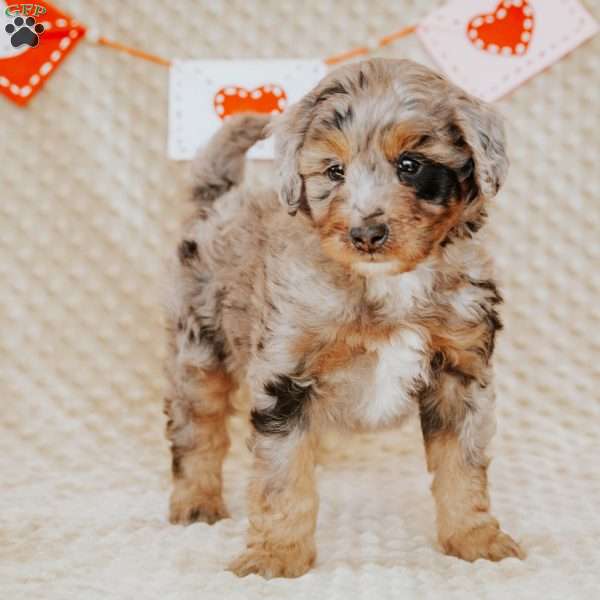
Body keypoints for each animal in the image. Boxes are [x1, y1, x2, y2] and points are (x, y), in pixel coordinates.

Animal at [164, 59, 524, 576]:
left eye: (410, 165)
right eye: (334, 171)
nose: (366, 234)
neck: (385, 284)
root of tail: (219, 200)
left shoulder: (461, 373)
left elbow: (462, 465)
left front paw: (475, 539)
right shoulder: (284, 381)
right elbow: (283, 476)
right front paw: (276, 554)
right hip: (198, 346)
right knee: (198, 429)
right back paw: (196, 502)